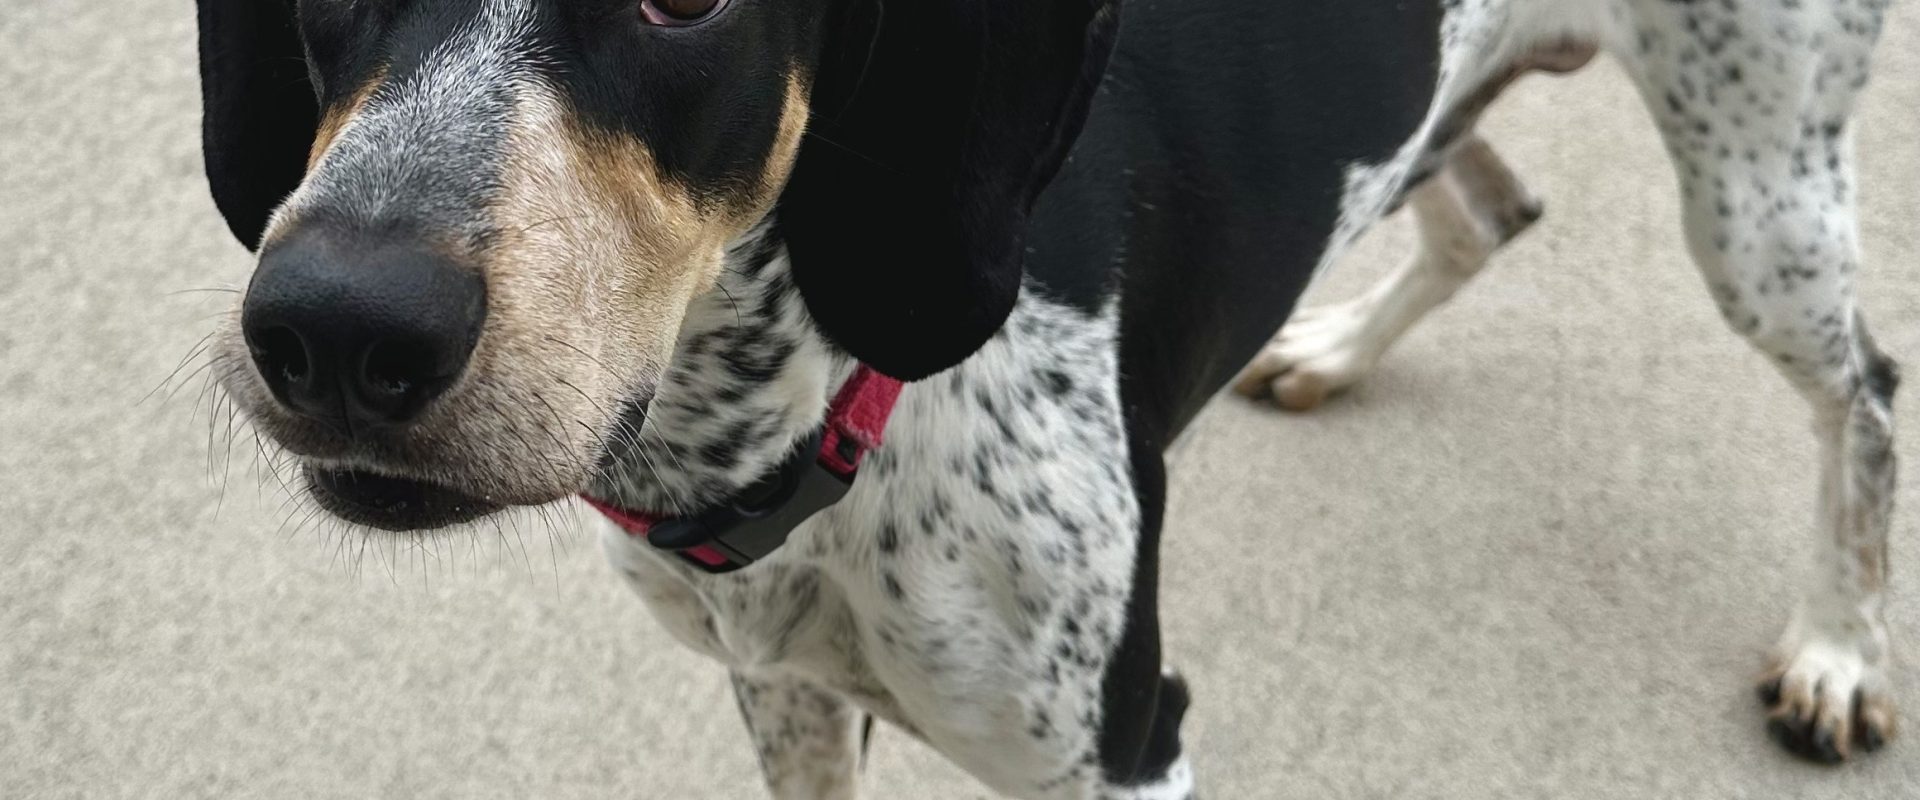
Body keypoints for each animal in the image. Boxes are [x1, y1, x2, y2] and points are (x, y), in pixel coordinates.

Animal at [192, 0, 1899, 795]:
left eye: (687, 3)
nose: (335, 327)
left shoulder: (1128, 747)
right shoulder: (785, 696)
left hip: (1759, 191)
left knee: (1869, 390)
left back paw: (1834, 650)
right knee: (1489, 208)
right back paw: (1338, 347)